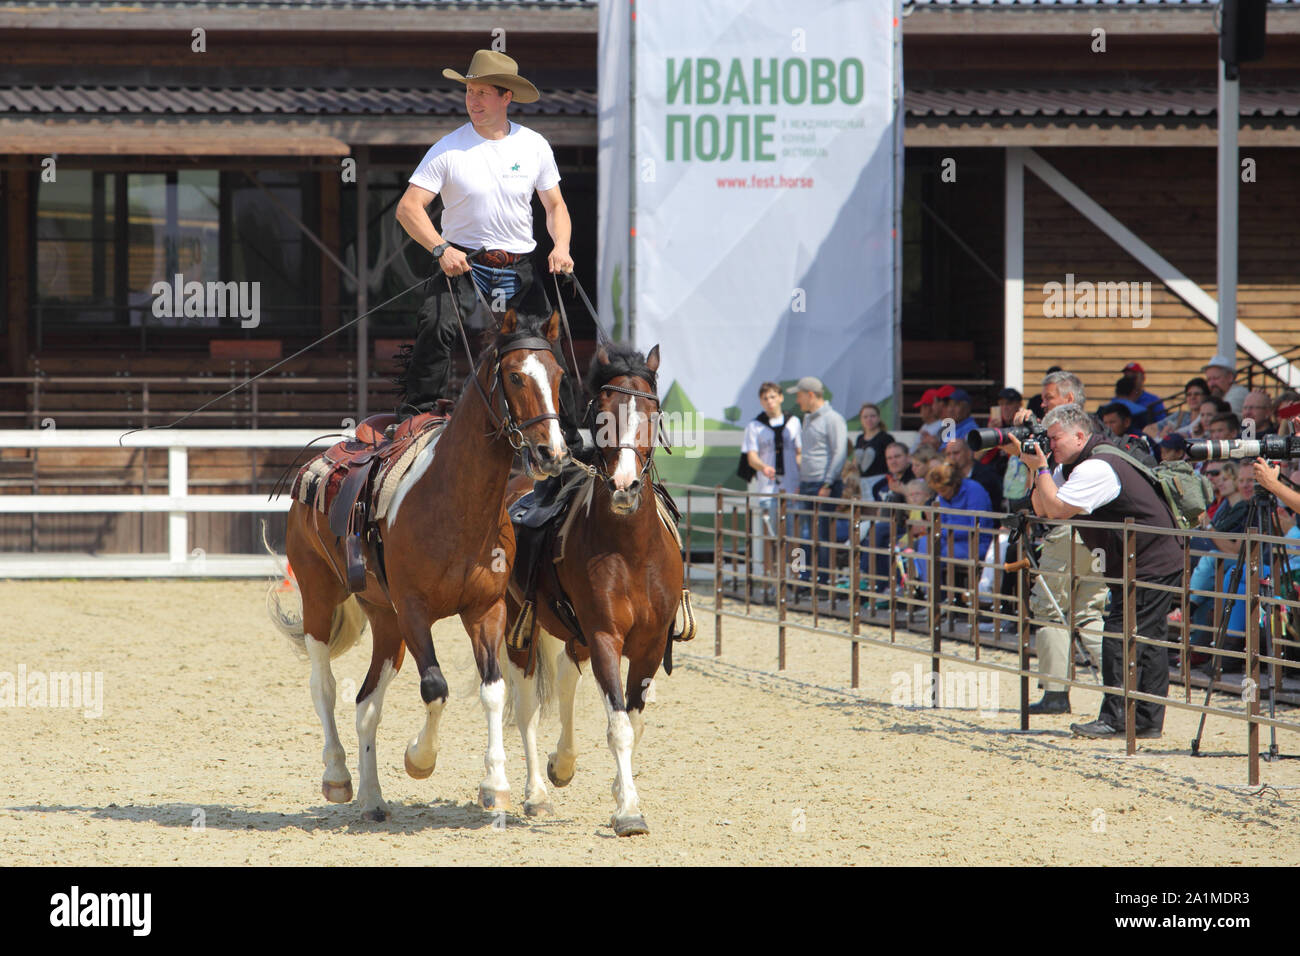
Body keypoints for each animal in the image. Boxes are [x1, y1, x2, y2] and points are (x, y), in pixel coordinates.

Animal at [276, 310, 566, 816]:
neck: (455, 502)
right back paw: (338, 776)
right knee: (324, 684)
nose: (552, 453)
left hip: (385, 619)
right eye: (515, 376)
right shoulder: (414, 611)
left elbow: (493, 690)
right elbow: (435, 686)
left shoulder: (485, 610)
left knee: (366, 703)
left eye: (559, 375)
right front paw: (419, 759)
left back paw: (372, 798)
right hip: (319, 595)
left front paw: (495, 783)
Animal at [496, 343, 686, 837]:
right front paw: (629, 812)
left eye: (653, 413)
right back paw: (535, 793)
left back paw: (562, 764)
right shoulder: (603, 636)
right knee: (526, 704)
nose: (624, 486)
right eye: (601, 413)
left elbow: (633, 722)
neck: (631, 549)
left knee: (566, 676)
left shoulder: (650, 645)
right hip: (519, 626)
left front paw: (622, 793)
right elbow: (618, 725)